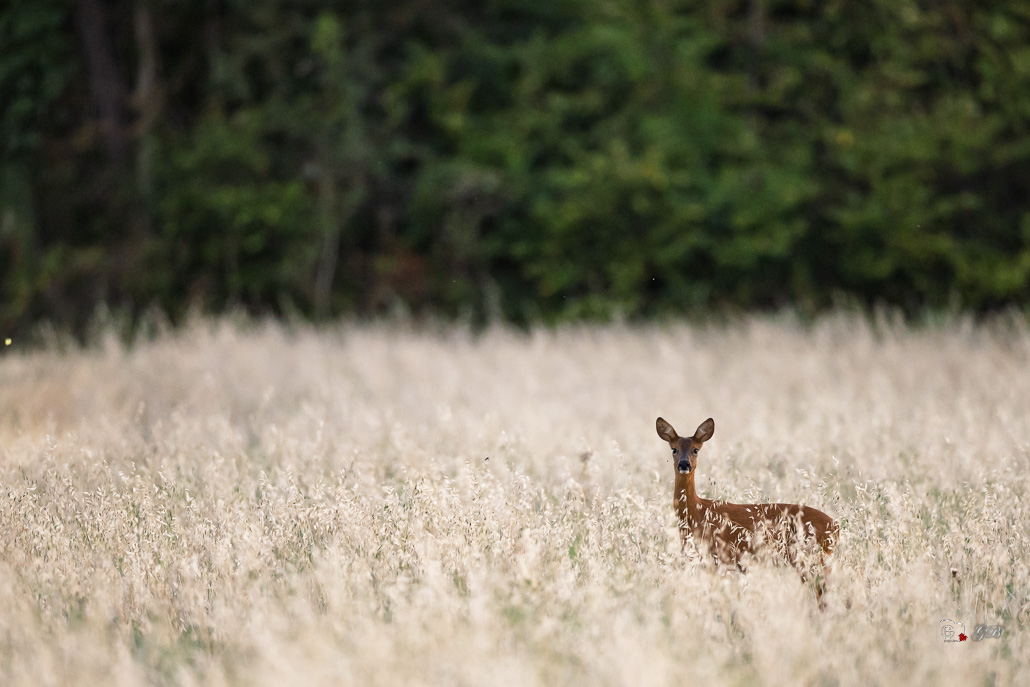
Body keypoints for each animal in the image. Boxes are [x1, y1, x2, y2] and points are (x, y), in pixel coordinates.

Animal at [656, 416, 838, 604]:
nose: (684, 464)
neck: (698, 513)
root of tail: (835, 526)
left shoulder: (720, 557)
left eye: (695, 450)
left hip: (809, 557)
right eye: (674, 449)